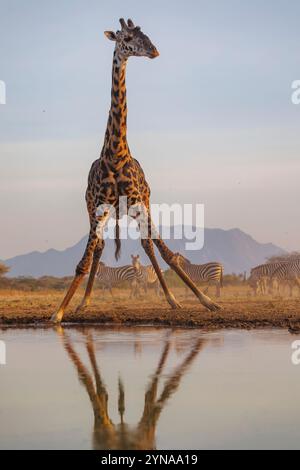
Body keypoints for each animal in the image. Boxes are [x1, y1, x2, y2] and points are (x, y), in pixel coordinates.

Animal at [51, 18, 220, 324]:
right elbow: (83, 262)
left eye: (145, 33)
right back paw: (84, 302)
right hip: (97, 210)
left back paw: (173, 299)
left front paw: (207, 301)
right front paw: (58, 312)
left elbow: (166, 253)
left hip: (143, 204)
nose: (154, 51)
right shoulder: (99, 206)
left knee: (148, 245)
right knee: (100, 248)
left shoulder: (139, 202)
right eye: (127, 37)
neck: (116, 155)